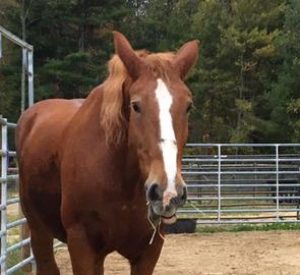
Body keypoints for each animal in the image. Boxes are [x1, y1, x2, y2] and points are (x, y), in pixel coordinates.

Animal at [15, 31, 199, 274]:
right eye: (136, 105)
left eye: (188, 106)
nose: (167, 191)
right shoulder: (81, 245)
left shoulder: (149, 251)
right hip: (39, 231)